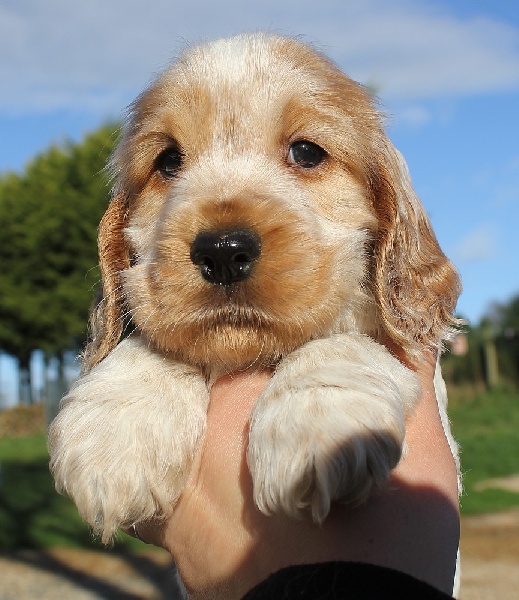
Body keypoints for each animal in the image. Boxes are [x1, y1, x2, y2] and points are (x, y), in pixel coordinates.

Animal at [49, 31, 464, 544]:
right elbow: (153, 339)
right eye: (168, 160)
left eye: (307, 152)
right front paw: (114, 432)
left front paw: (318, 423)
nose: (223, 251)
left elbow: (344, 341)